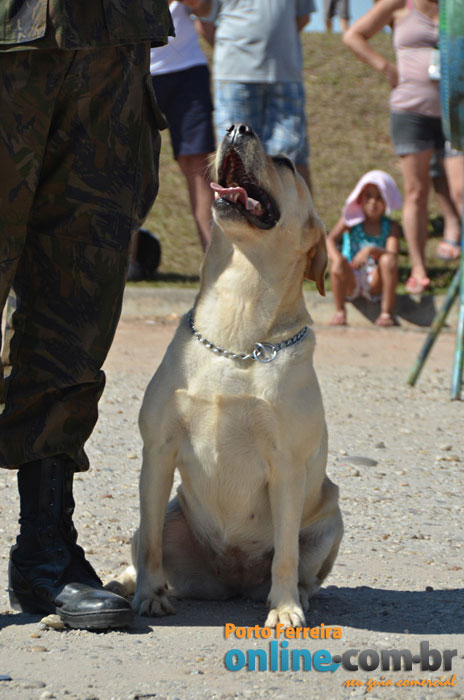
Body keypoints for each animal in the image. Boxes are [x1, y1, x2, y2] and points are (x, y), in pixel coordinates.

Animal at [109, 124, 343, 628]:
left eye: (286, 162)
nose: (237, 127)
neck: (236, 338)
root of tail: (229, 577)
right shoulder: (158, 450)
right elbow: (150, 545)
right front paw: (150, 596)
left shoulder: (287, 466)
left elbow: (286, 556)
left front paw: (285, 609)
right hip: (170, 515)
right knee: (142, 544)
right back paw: (122, 584)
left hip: (330, 521)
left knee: (301, 567)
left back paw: (294, 596)